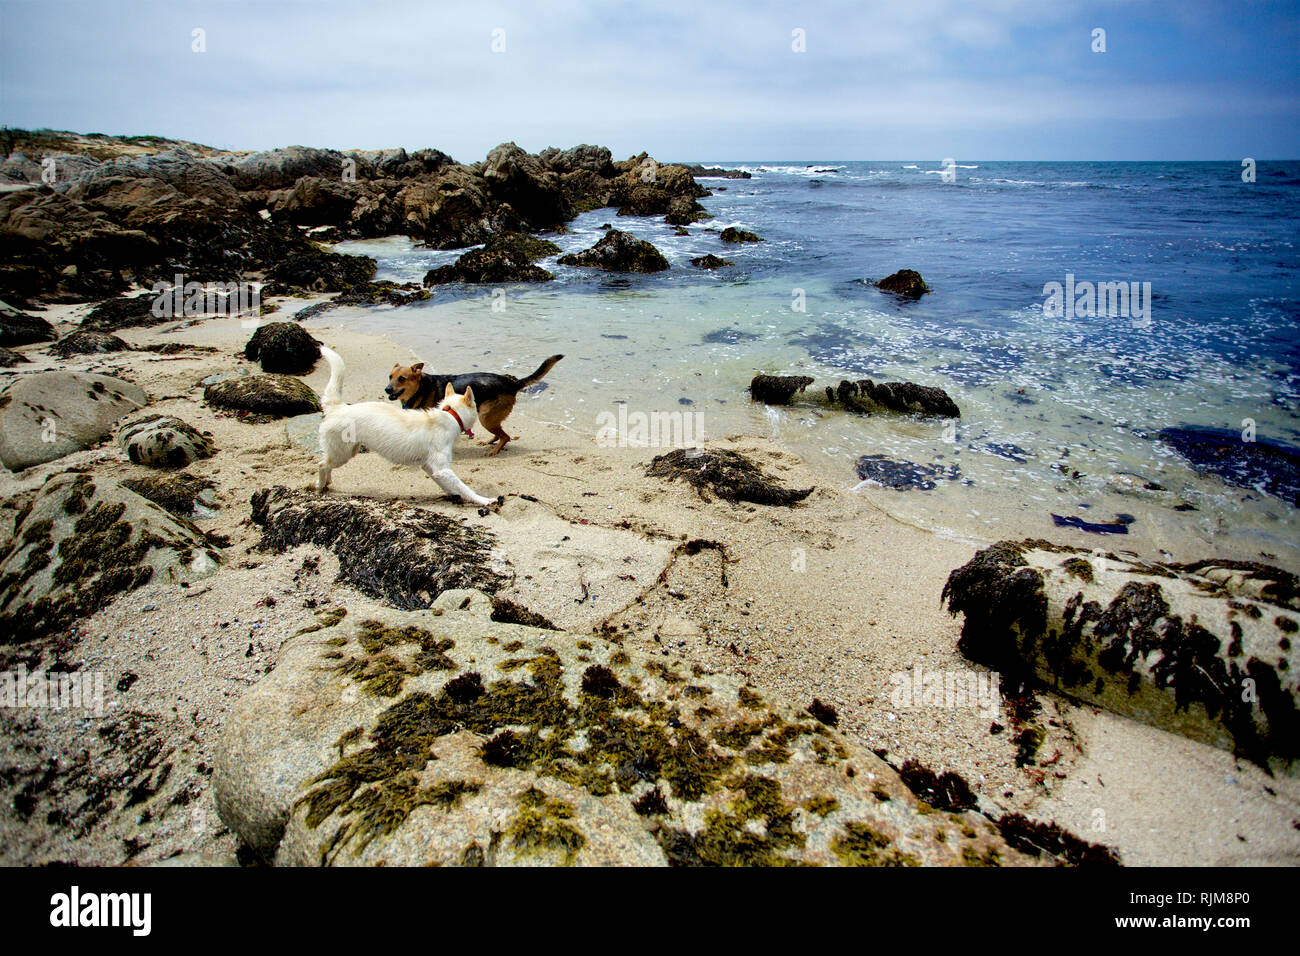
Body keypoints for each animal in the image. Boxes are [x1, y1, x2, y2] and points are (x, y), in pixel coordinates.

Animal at [312, 343, 499, 509]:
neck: (450, 414)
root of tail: (338, 407)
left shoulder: (430, 467)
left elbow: (448, 485)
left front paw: (455, 495)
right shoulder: (442, 469)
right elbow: (464, 487)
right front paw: (485, 500)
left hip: (348, 451)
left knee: (326, 464)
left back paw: (327, 482)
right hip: (342, 453)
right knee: (322, 465)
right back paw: (320, 486)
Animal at [390, 356, 564, 455]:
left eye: (402, 378)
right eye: (390, 376)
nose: (387, 389)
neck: (422, 388)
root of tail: (512, 383)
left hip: (486, 417)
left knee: (506, 437)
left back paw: (494, 451)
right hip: (489, 417)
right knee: (500, 433)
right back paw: (489, 442)